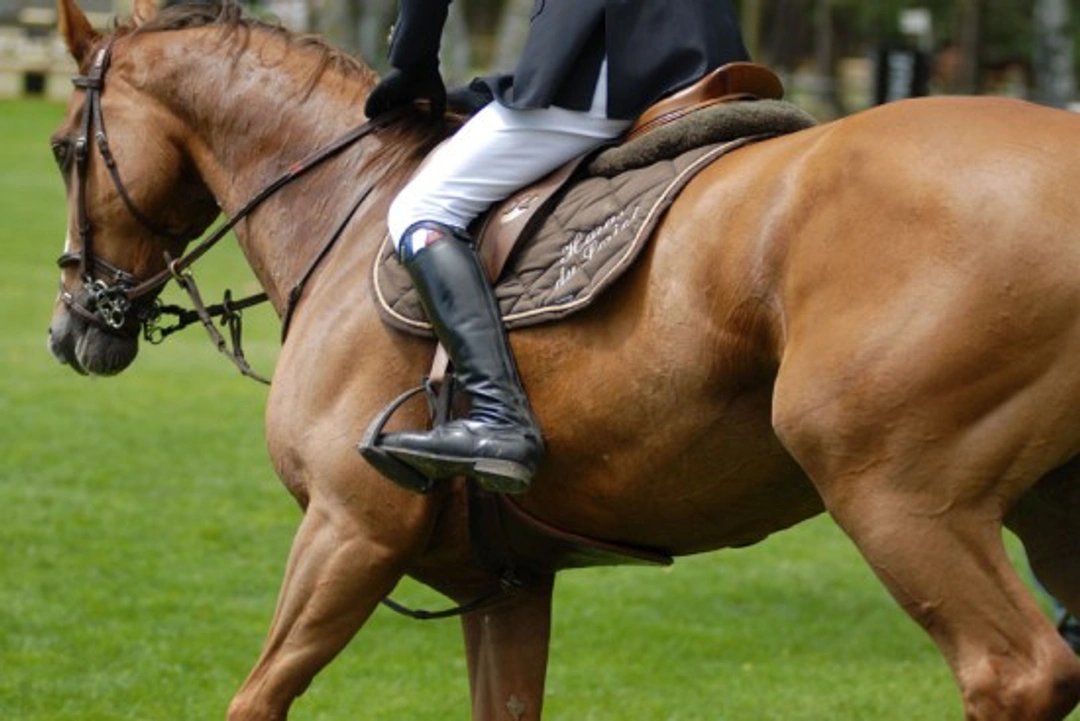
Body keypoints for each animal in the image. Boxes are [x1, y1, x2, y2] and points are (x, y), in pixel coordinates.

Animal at [46, 0, 1080, 718]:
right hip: (1041, 513)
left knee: (1018, 671)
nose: (69, 329)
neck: (346, 200)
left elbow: (257, 695)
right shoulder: (502, 583)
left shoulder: (349, 530)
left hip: (899, 496)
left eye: (62, 149)